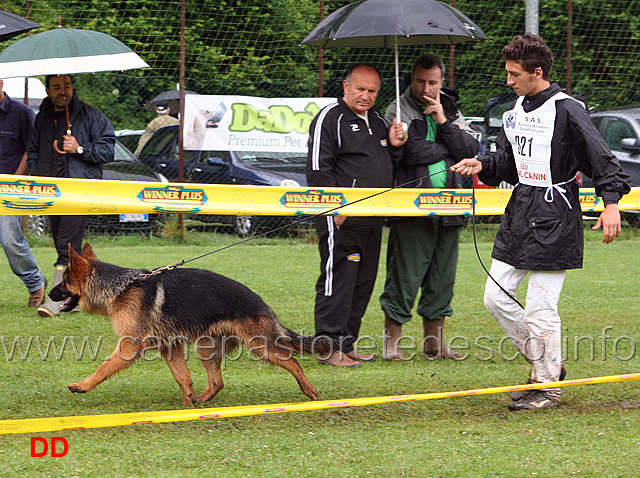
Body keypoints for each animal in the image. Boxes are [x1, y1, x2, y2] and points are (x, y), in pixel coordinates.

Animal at [50, 245, 330, 406]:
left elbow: (104, 367)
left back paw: (310, 391)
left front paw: (83, 385)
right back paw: (201, 399)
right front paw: (187, 404)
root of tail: (261, 302)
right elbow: (182, 377)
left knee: (292, 361)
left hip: (261, 347)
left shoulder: (129, 346)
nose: (50, 294)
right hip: (207, 349)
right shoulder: (169, 346)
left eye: (63, 281)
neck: (121, 287)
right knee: (217, 382)